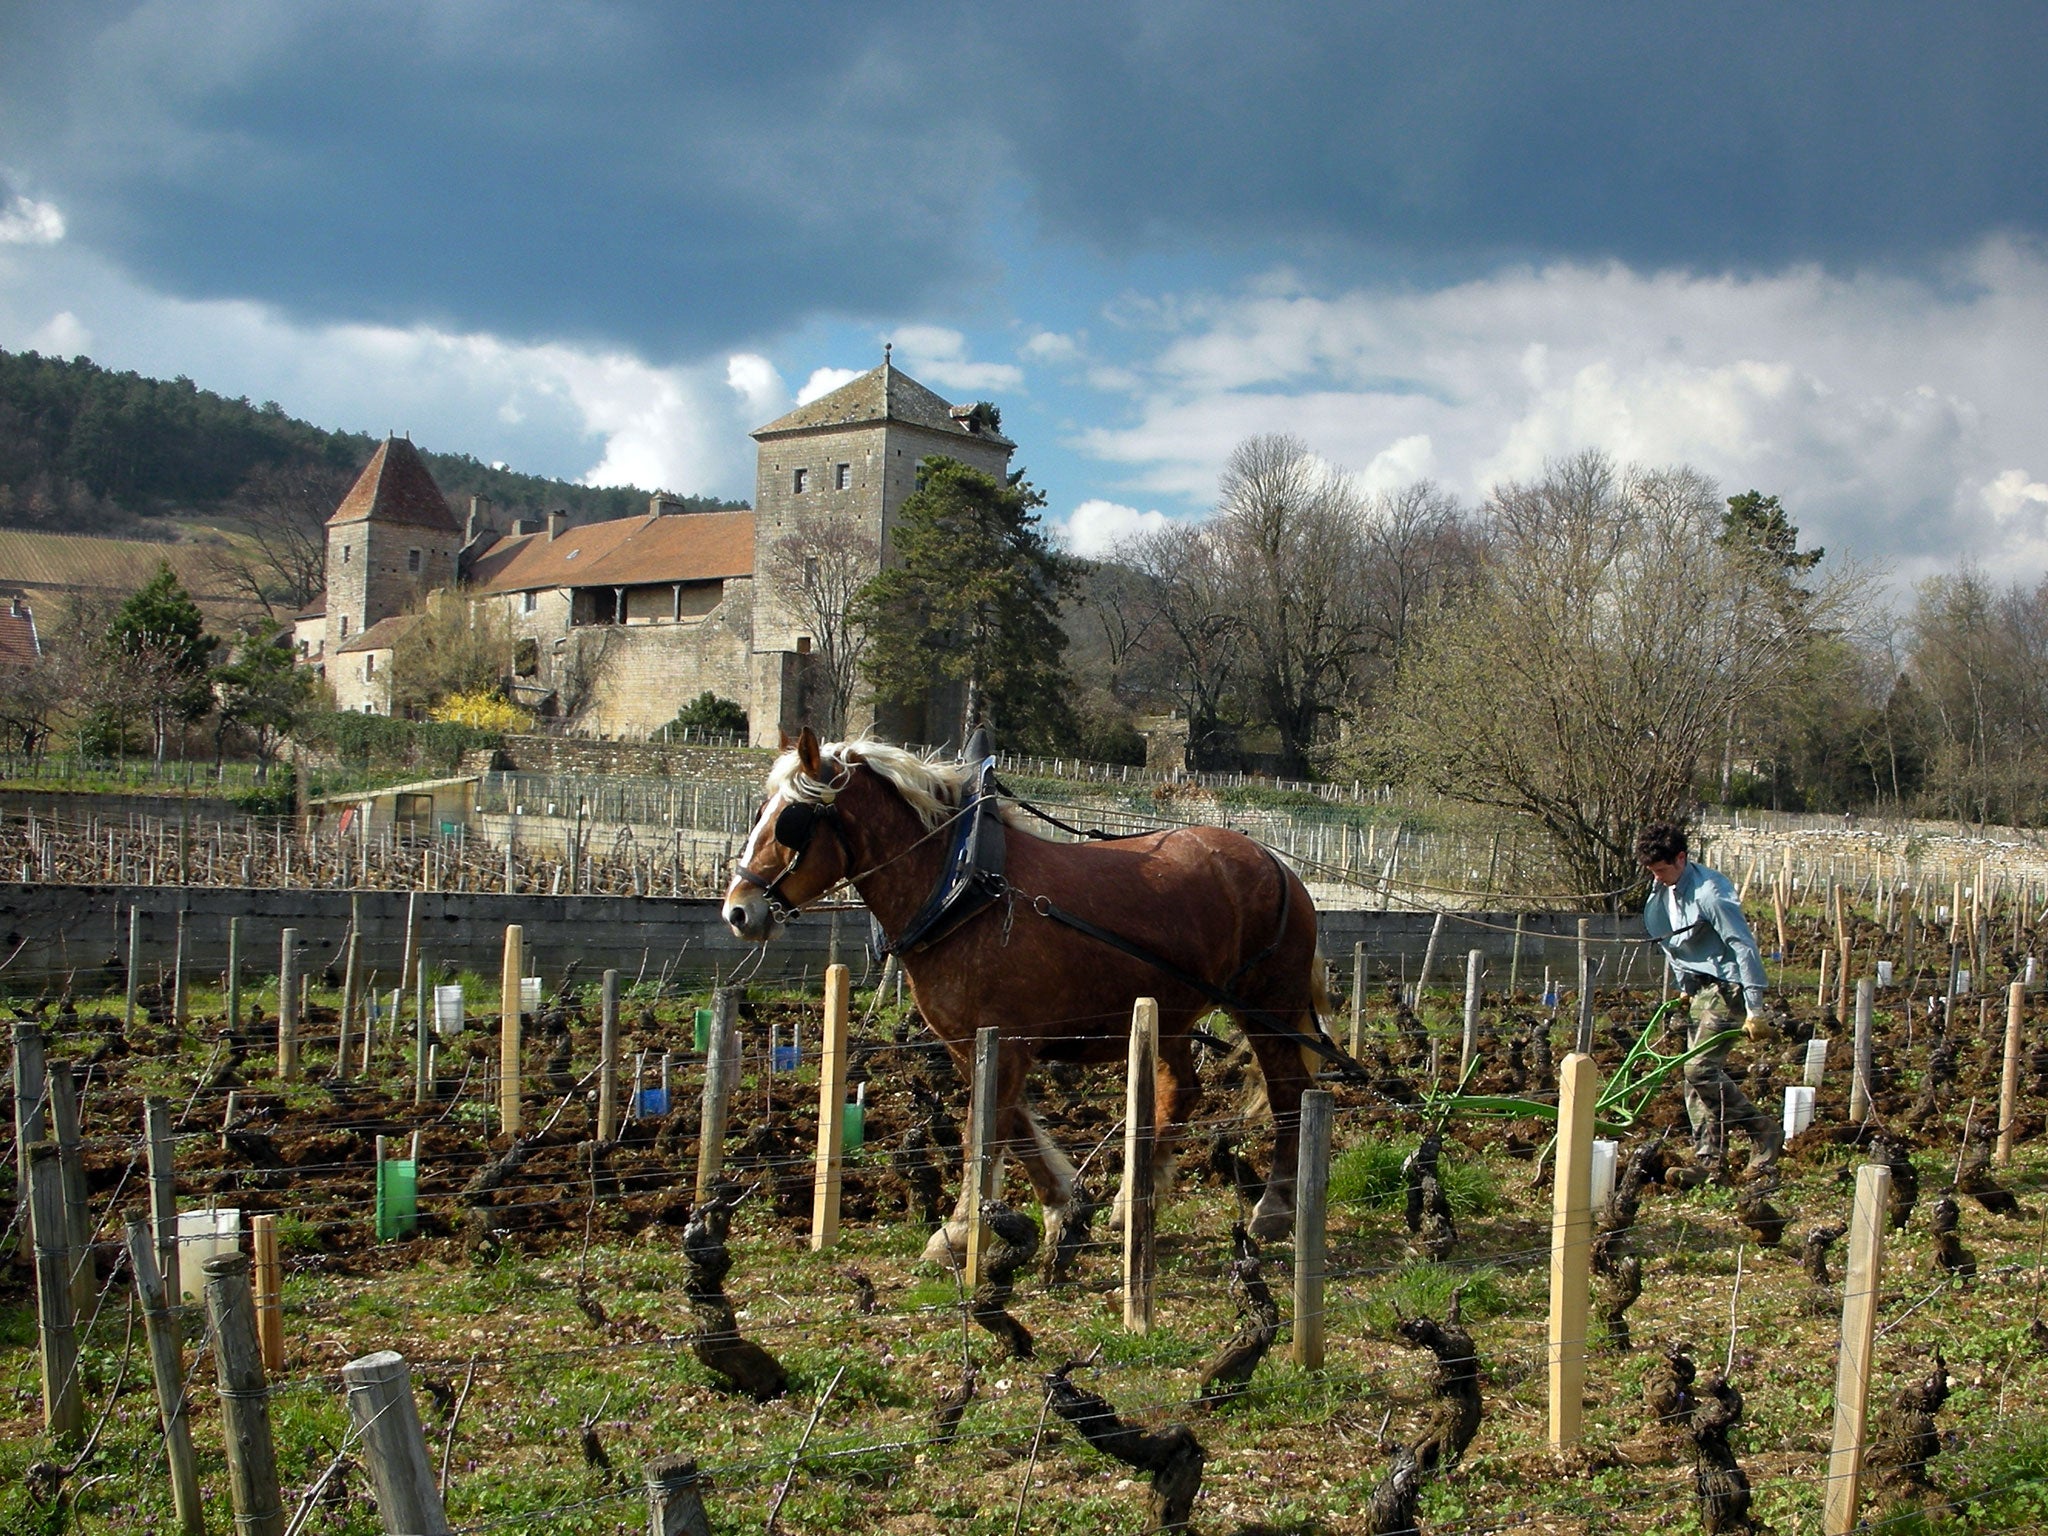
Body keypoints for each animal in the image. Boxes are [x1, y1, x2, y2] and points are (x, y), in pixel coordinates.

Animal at [720, 737, 1327, 1261]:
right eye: (760, 813)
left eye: (792, 821)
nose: (738, 911)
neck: (963, 889)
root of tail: (1276, 863)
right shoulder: (970, 1042)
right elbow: (1009, 1124)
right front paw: (1062, 1207)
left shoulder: (1007, 1041)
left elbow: (984, 1128)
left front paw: (958, 1232)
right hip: (1169, 1011)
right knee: (1182, 1089)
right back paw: (1132, 1200)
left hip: (1266, 1007)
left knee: (1289, 1093)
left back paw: (1274, 1208)